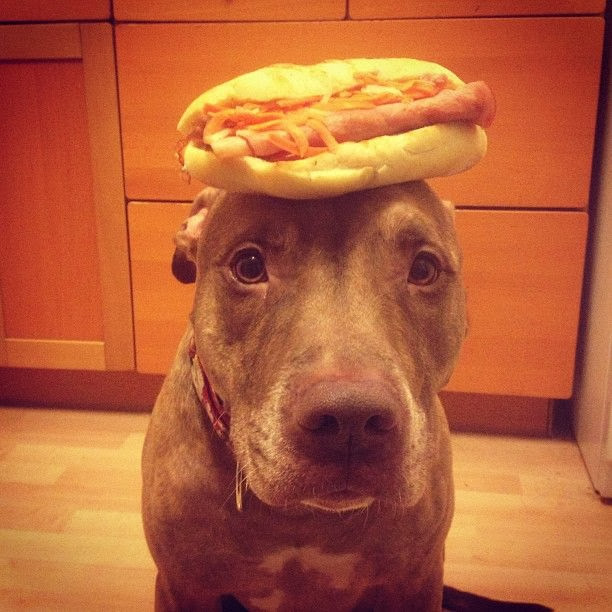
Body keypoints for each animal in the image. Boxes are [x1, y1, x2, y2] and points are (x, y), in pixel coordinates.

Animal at [142, 183, 548, 612]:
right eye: (249, 266)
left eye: (424, 269)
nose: (350, 419)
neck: (302, 519)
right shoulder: (183, 586)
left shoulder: (417, 581)